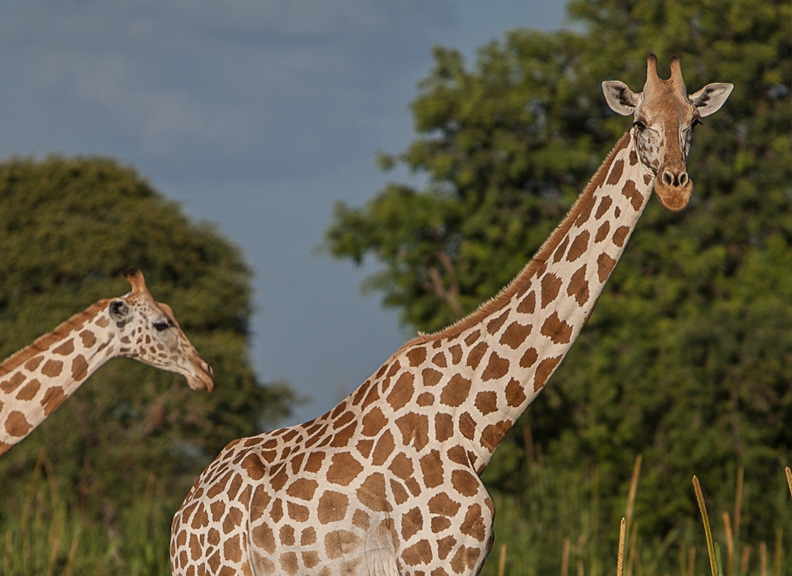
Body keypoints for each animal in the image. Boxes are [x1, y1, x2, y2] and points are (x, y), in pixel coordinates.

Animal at [170, 55, 732, 576]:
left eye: (694, 122)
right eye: (639, 122)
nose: (675, 186)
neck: (477, 424)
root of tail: (182, 513)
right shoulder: (434, 560)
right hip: (210, 569)